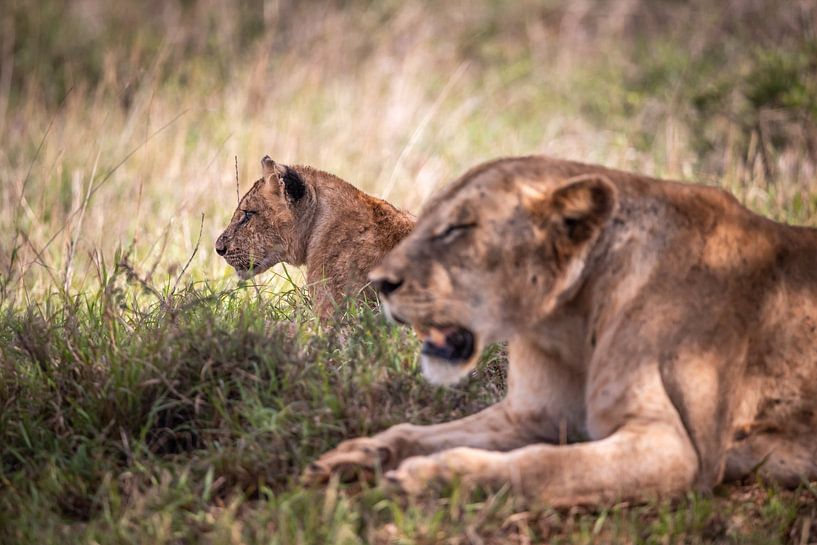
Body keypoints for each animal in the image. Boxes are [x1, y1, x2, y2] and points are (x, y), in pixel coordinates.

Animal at [303, 155, 817, 505]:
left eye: (459, 229)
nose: (381, 283)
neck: (571, 318)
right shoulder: (533, 415)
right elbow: (418, 431)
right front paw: (356, 455)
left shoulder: (681, 450)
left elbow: (541, 466)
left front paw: (430, 477)